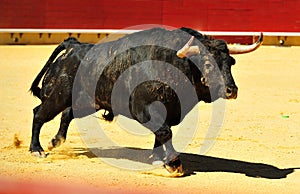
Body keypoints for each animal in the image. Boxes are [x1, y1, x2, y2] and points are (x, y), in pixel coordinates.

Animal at [29, 27, 262, 174]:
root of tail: (74, 46)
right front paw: (174, 164)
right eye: (207, 63)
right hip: (58, 96)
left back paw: (55, 141)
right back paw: (36, 150)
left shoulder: (170, 110)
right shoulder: (143, 109)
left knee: (66, 113)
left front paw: (158, 158)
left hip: (86, 101)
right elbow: (164, 131)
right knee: (39, 113)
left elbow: (162, 133)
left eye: (230, 62)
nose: (232, 90)